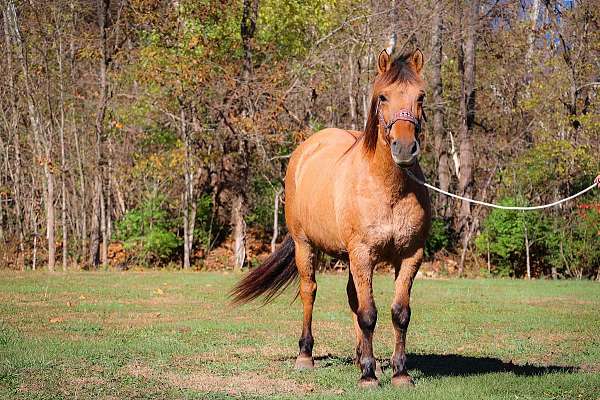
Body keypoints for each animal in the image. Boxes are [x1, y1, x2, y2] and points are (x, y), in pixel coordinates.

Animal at [231, 47, 432, 388]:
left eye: (420, 96)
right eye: (383, 97)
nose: (405, 149)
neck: (388, 188)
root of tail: (306, 149)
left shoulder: (409, 256)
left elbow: (399, 313)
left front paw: (398, 372)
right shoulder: (363, 254)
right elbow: (369, 314)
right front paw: (368, 376)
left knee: (353, 298)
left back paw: (362, 358)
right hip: (305, 246)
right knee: (309, 291)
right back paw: (306, 355)